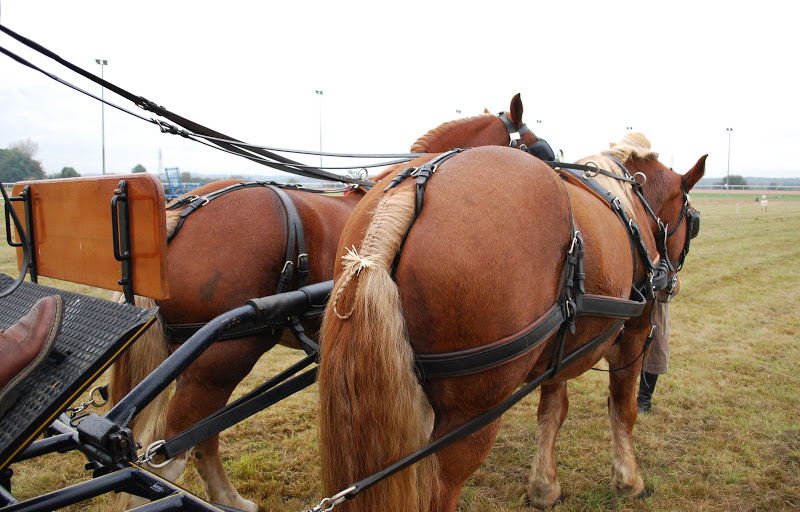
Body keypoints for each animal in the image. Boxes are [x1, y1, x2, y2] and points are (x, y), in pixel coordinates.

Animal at [316, 134, 704, 510]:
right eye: (692, 220)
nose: (672, 284)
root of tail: (413, 184)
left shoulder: (560, 345)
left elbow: (553, 409)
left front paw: (544, 488)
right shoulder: (634, 334)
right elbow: (623, 408)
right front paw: (629, 482)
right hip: (471, 412)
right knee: (441, 488)